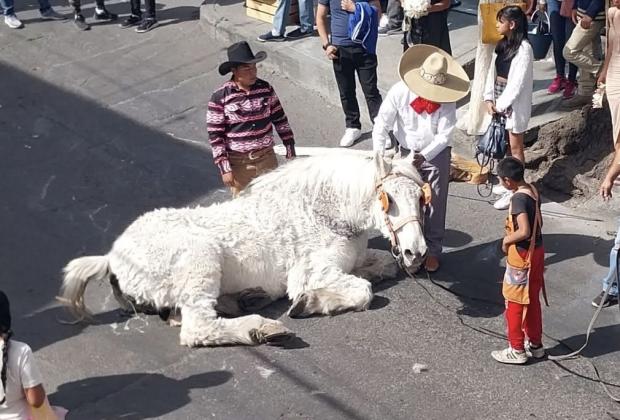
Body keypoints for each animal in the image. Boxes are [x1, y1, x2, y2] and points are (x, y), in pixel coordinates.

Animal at [60, 153, 428, 346]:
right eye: (388, 199)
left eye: (421, 197)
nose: (417, 252)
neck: (322, 211)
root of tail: (112, 257)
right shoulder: (310, 272)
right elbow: (363, 291)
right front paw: (308, 303)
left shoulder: (355, 259)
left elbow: (382, 266)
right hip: (199, 260)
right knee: (196, 327)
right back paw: (261, 327)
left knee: (179, 315)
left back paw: (247, 300)